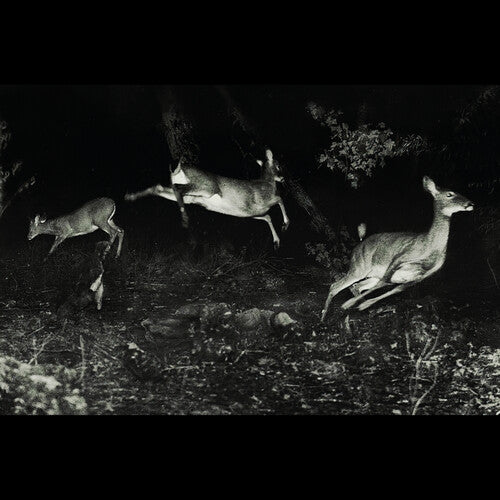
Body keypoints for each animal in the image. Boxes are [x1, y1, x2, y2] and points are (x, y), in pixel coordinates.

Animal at [123, 148, 292, 250]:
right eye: (278, 165)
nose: (283, 178)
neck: (268, 183)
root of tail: (179, 168)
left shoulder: (250, 212)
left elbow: (268, 216)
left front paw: (277, 241)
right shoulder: (261, 202)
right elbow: (280, 199)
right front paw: (286, 224)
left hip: (193, 196)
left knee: (160, 187)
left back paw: (130, 196)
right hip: (206, 187)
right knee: (178, 188)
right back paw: (185, 218)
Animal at [318, 178, 474, 322]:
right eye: (449, 194)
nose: (470, 204)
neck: (430, 247)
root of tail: (358, 245)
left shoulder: (421, 276)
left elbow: (396, 289)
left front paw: (364, 305)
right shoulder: (400, 257)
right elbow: (384, 282)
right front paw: (348, 304)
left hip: (371, 274)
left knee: (357, 286)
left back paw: (362, 309)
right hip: (359, 267)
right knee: (335, 285)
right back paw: (324, 317)